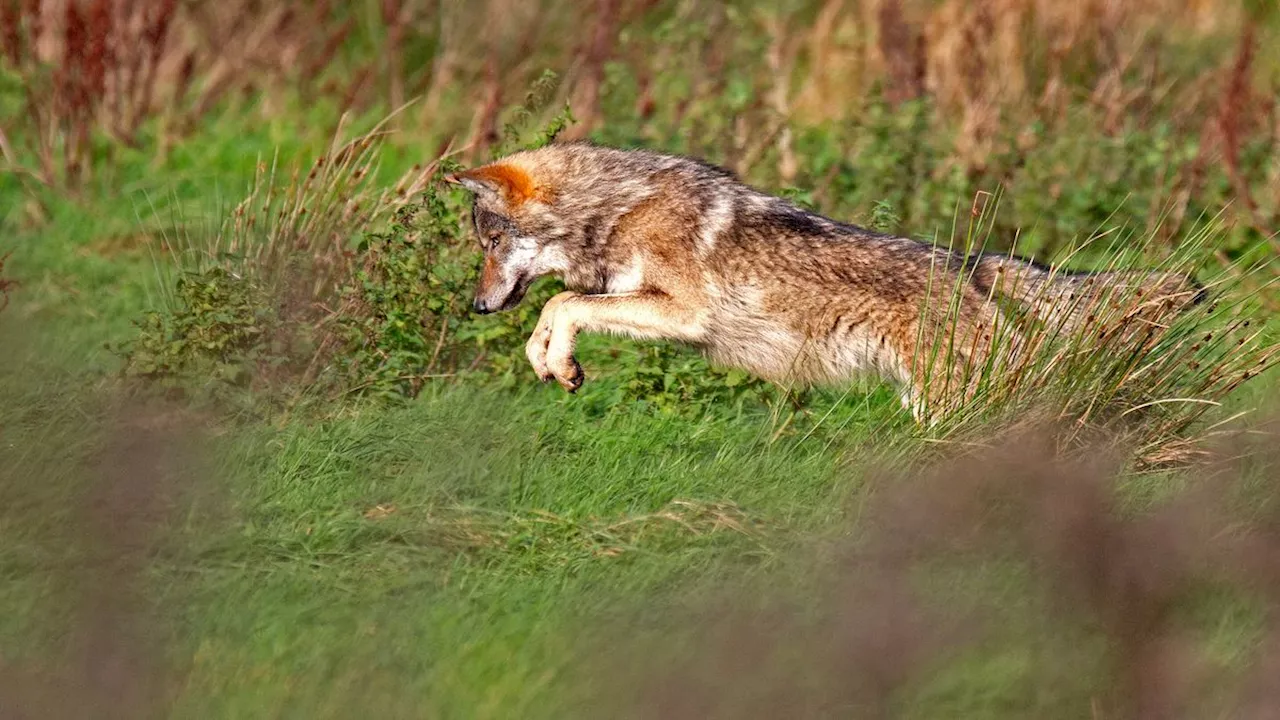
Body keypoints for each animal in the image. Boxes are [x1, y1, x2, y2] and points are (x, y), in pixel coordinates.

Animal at [442, 141, 1198, 415]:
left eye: (491, 241)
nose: (476, 307)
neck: (616, 206)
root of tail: (972, 265)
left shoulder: (682, 313)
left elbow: (566, 302)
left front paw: (557, 360)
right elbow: (555, 313)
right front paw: (552, 365)